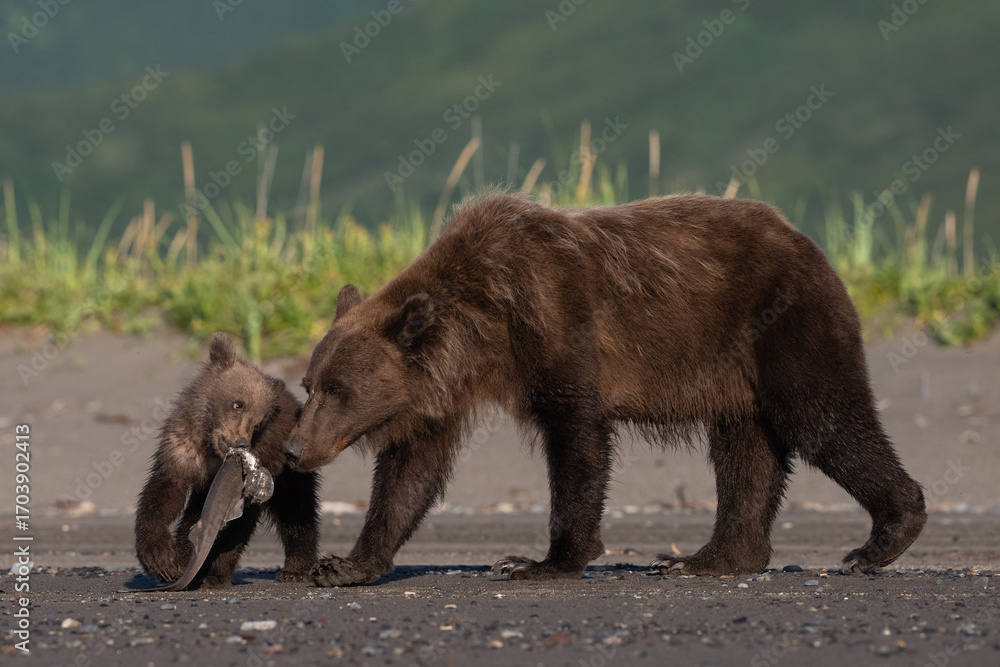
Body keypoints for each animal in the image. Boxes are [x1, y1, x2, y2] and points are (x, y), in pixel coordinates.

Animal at [135, 332, 320, 588]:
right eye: (237, 404)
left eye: (258, 423)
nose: (241, 442)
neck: (210, 448)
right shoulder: (181, 450)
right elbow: (163, 493)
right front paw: (160, 559)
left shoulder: (254, 472)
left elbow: (237, 524)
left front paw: (211, 573)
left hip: (289, 468)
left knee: (296, 510)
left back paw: (297, 569)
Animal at [283, 192, 926, 586]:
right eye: (309, 384)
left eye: (338, 389)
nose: (293, 449)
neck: (485, 328)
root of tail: (806, 240)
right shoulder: (441, 388)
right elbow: (410, 470)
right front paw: (347, 564)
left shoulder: (556, 322)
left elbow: (578, 440)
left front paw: (539, 560)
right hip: (733, 375)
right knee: (745, 454)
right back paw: (707, 559)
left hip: (784, 321)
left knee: (821, 417)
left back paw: (882, 538)